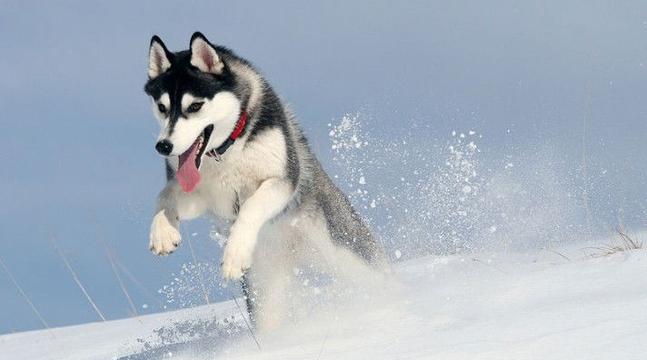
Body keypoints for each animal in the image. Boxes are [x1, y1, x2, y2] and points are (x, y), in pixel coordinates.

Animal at [145, 32, 388, 328]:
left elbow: (251, 207)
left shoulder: (281, 180)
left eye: (195, 106)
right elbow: (164, 195)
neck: (227, 151)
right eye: (162, 107)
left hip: (348, 252)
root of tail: (293, 253)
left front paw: (234, 254)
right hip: (265, 290)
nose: (163, 146)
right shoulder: (204, 197)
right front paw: (163, 233)